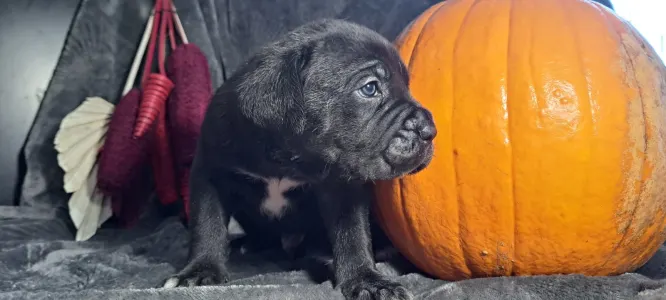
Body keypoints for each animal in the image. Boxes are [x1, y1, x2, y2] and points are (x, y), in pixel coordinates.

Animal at [163, 19, 436, 300]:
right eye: (370, 88)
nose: (429, 130)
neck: (287, 159)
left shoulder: (343, 185)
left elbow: (353, 234)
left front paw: (367, 279)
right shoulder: (210, 170)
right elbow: (207, 223)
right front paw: (200, 271)